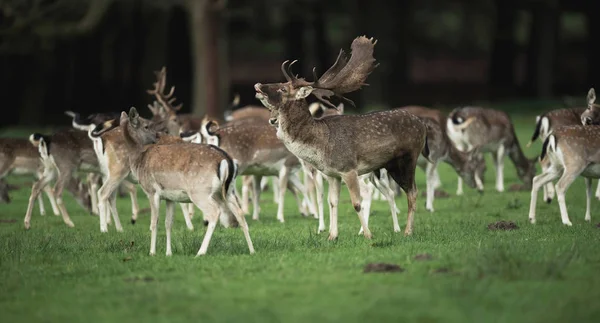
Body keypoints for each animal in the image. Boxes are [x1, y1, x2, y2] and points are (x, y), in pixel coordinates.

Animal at [120, 107, 254, 256]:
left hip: (199, 192)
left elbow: (154, 222)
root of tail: (227, 160)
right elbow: (168, 223)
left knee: (214, 212)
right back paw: (252, 250)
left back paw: (201, 252)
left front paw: (152, 252)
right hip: (227, 191)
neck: (138, 160)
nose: (158, 135)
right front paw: (168, 253)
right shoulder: (169, 197)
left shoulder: (151, 191)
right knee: (240, 213)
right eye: (146, 126)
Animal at [255, 36, 428, 240]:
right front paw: (332, 236)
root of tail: (423, 125)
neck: (320, 145)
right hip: (391, 165)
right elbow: (332, 202)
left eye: (282, 88)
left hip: (408, 158)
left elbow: (356, 203)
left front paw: (368, 235)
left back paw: (408, 231)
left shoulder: (348, 168)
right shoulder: (332, 174)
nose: (259, 85)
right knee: (407, 191)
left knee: (413, 192)